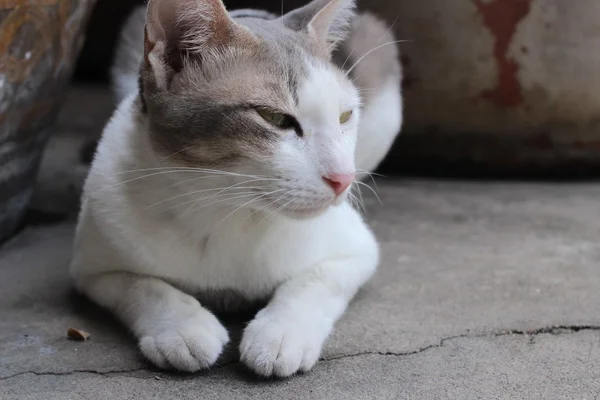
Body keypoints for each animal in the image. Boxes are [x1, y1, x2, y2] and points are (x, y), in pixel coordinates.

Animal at [70, 0, 400, 376]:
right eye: (275, 118)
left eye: (345, 116)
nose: (343, 178)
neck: (226, 208)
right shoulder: (94, 263)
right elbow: (141, 285)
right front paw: (183, 328)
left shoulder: (355, 250)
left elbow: (315, 281)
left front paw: (281, 334)